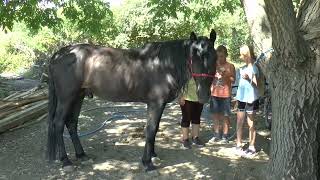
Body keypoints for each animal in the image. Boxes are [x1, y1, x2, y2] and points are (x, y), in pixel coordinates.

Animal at [47, 29, 218, 172]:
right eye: (194, 57)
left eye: (214, 58)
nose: (204, 96)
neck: (163, 65)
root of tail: (59, 54)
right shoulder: (155, 104)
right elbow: (150, 129)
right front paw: (147, 163)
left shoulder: (159, 105)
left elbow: (155, 129)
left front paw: (153, 154)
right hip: (66, 98)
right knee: (58, 123)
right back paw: (66, 161)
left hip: (78, 96)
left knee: (71, 123)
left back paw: (81, 155)